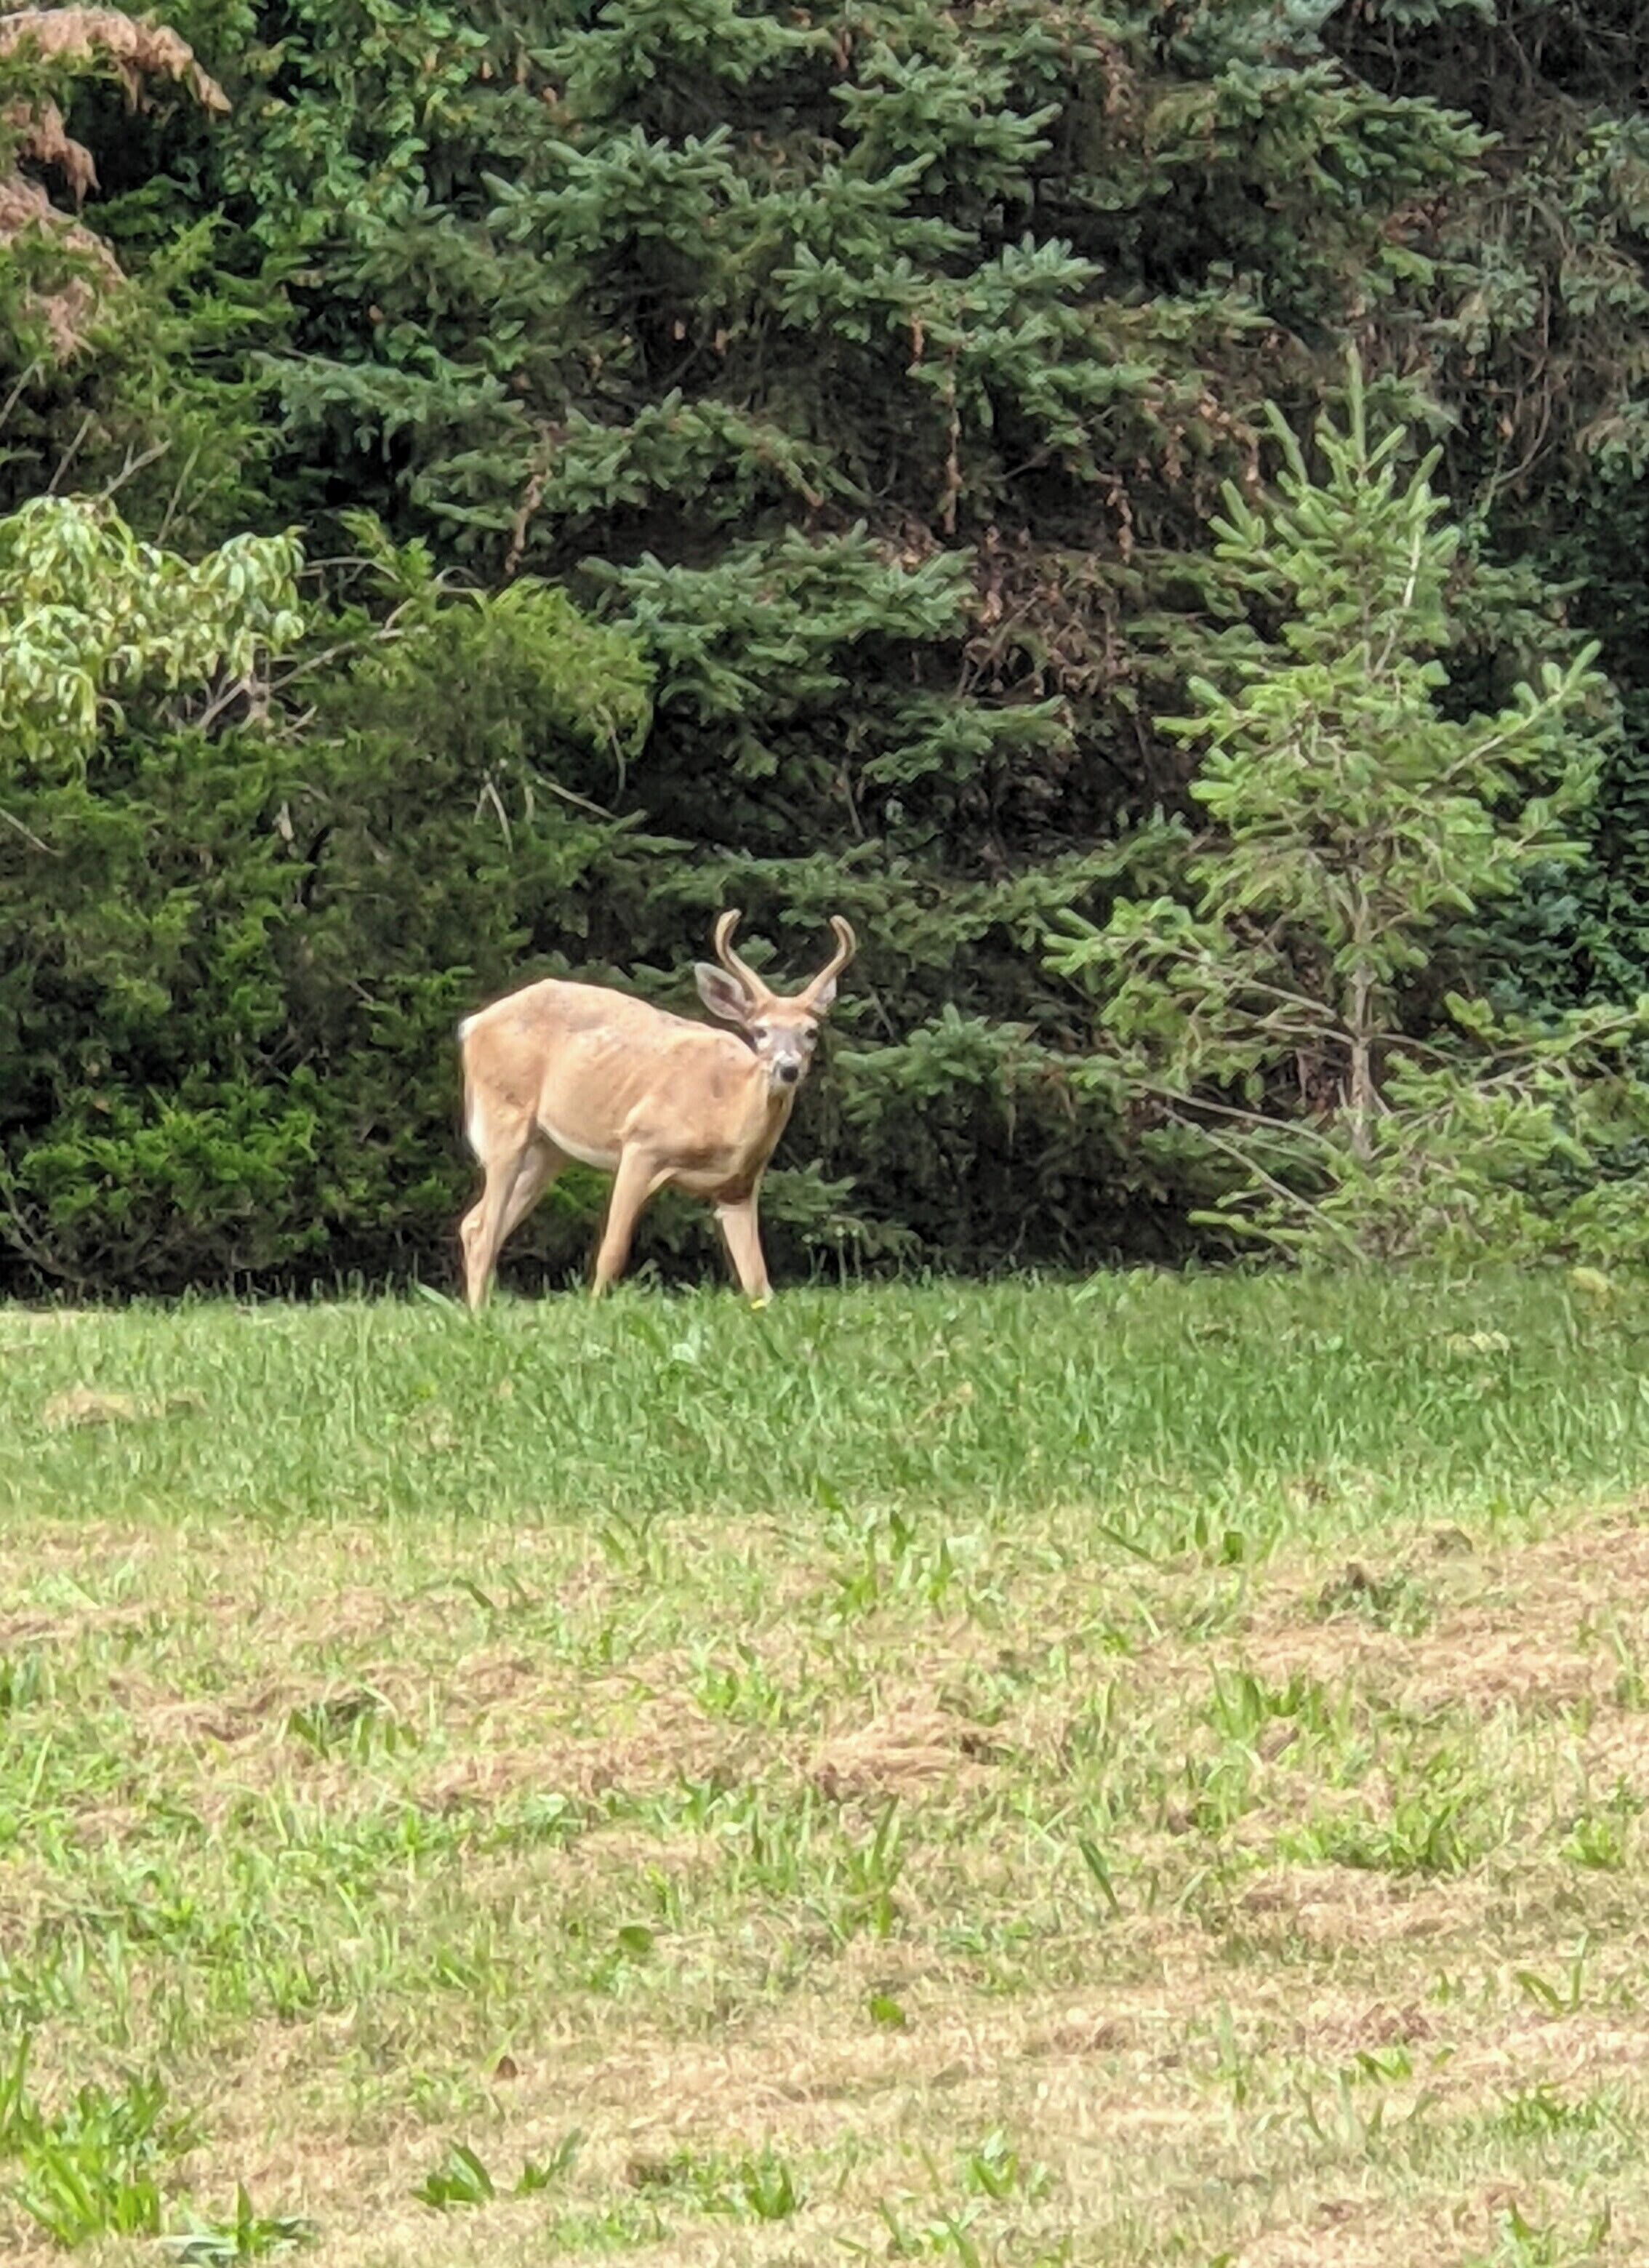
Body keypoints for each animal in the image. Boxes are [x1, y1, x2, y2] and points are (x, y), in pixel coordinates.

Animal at [456, 911, 856, 1309]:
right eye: (760, 1031)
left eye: (811, 1032)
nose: (788, 1069)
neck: (726, 1113)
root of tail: (472, 1025)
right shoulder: (641, 1142)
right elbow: (612, 1250)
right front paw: (596, 1309)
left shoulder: (739, 1186)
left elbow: (758, 1280)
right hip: (504, 1116)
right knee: (483, 1229)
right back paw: (479, 1314)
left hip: (548, 1150)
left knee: (474, 1225)